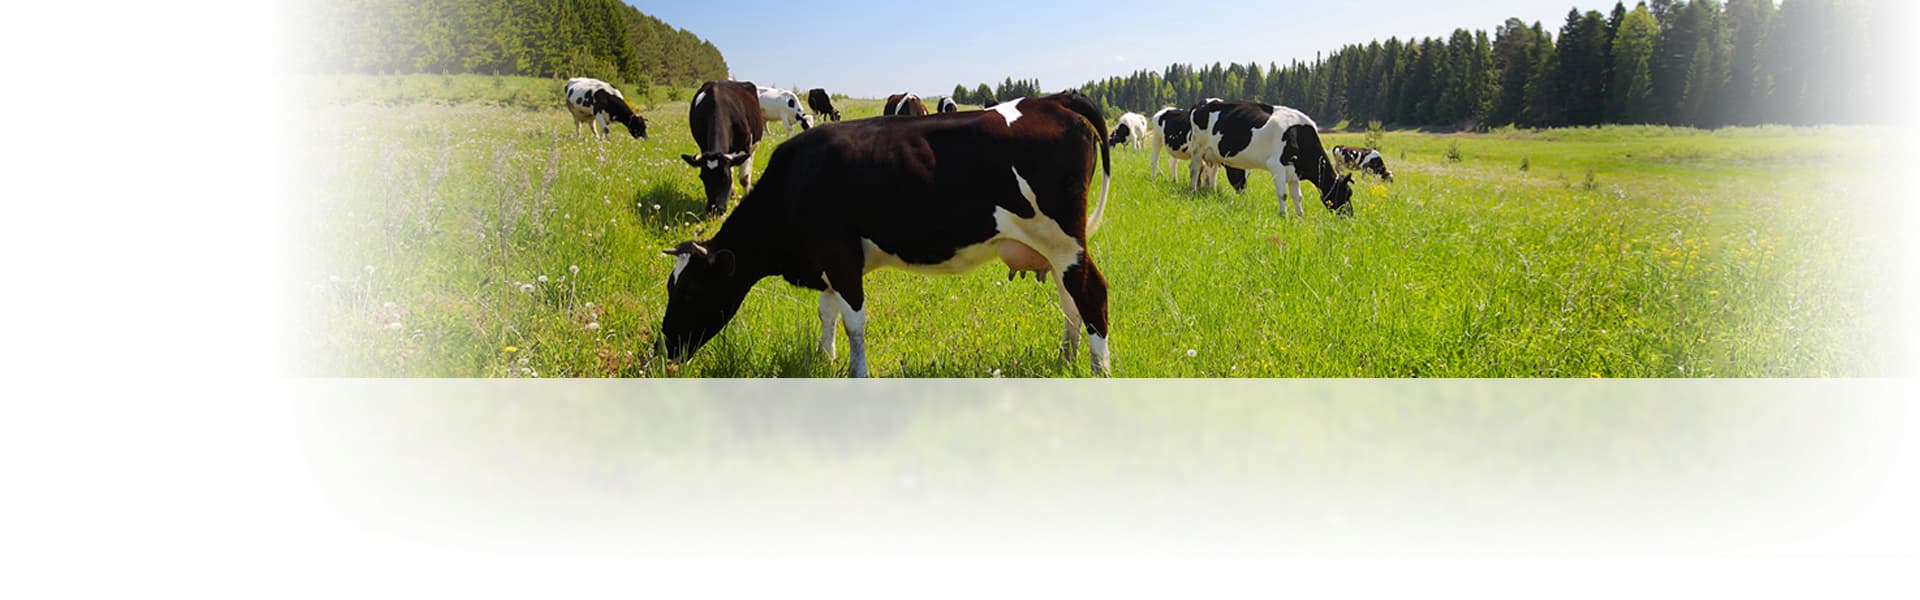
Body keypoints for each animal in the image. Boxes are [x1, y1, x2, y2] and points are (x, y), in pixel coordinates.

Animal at [681, 80, 767, 214]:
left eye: (725, 177)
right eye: (702, 177)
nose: (715, 210)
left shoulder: (745, 148)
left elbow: (744, 179)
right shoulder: (704, 147)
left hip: (753, 146)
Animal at [1188, 101, 1354, 216]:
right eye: (1346, 193)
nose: (1349, 216)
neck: (1297, 134)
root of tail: (1201, 105)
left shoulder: (1294, 172)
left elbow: (1298, 197)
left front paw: (1300, 217)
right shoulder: (1277, 165)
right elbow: (1283, 195)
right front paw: (1284, 216)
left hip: (1212, 155)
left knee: (1210, 174)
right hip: (1197, 149)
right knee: (1194, 170)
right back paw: (1193, 192)